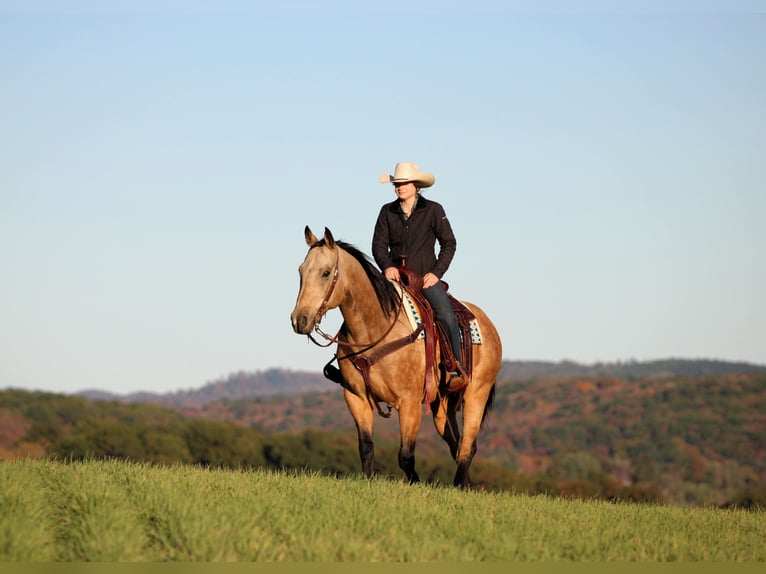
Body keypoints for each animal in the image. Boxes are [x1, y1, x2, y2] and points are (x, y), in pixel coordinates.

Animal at [290, 226, 502, 488]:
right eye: (301, 271)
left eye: (326, 272)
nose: (299, 319)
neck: (375, 330)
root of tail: (488, 324)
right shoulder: (356, 398)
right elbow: (366, 448)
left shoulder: (409, 403)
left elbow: (406, 456)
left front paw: (416, 484)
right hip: (442, 405)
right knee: (457, 443)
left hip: (476, 394)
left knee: (467, 447)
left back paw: (460, 486)